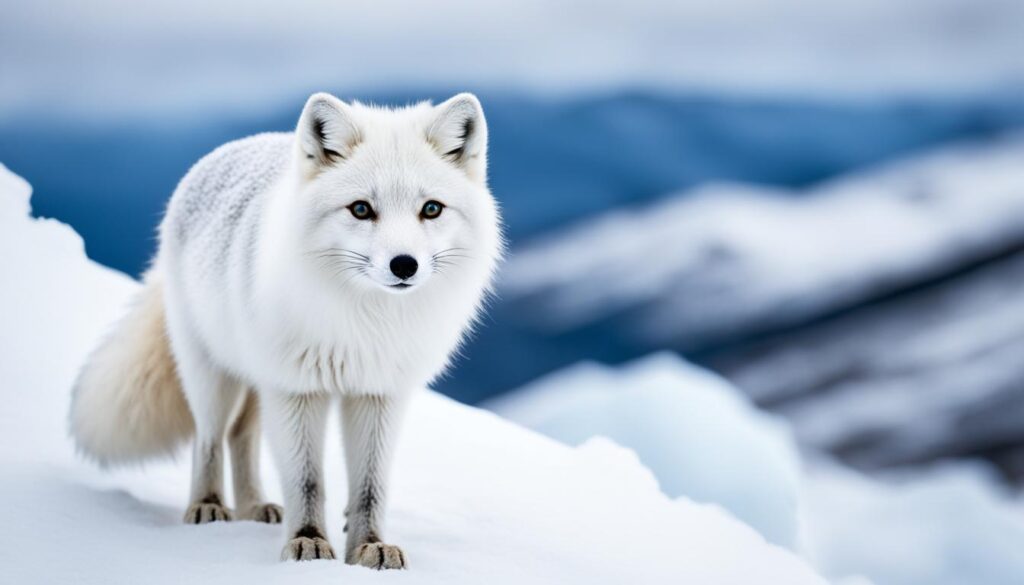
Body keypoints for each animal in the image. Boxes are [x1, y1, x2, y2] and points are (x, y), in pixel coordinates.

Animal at [67, 93, 503, 569]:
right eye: (361, 209)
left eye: (431, 209)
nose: (404, 265)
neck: (366, 323)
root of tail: (229, 149)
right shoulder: (297, 390)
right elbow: (306, 480)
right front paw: (308, 542)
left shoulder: (378, 393)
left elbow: (370, 486)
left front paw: (369, 547)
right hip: (216, 376)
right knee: (210, 438)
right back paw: (208, 506)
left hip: (261, 385)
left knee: (241, 437)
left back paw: (255, 507)